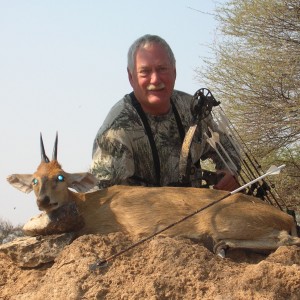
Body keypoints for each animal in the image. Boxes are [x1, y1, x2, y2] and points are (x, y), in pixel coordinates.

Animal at [7, 135, 300, 256]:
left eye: (60, 177)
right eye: (34, 180)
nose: (42, 201)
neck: (89, 204)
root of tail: (286, 216)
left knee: (287, 240)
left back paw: (219, 246)